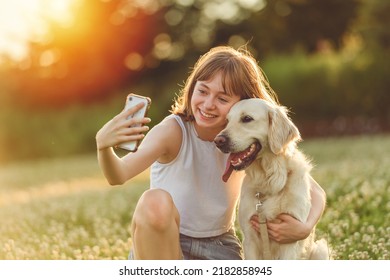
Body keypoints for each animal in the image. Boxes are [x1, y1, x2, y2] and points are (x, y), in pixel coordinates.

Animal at [213, 99, 330, 260]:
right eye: (227, 121)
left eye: (247, 118)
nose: (217, 141)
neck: (270, 179)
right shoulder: (249, 238)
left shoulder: (290, 238)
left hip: (321, 249)